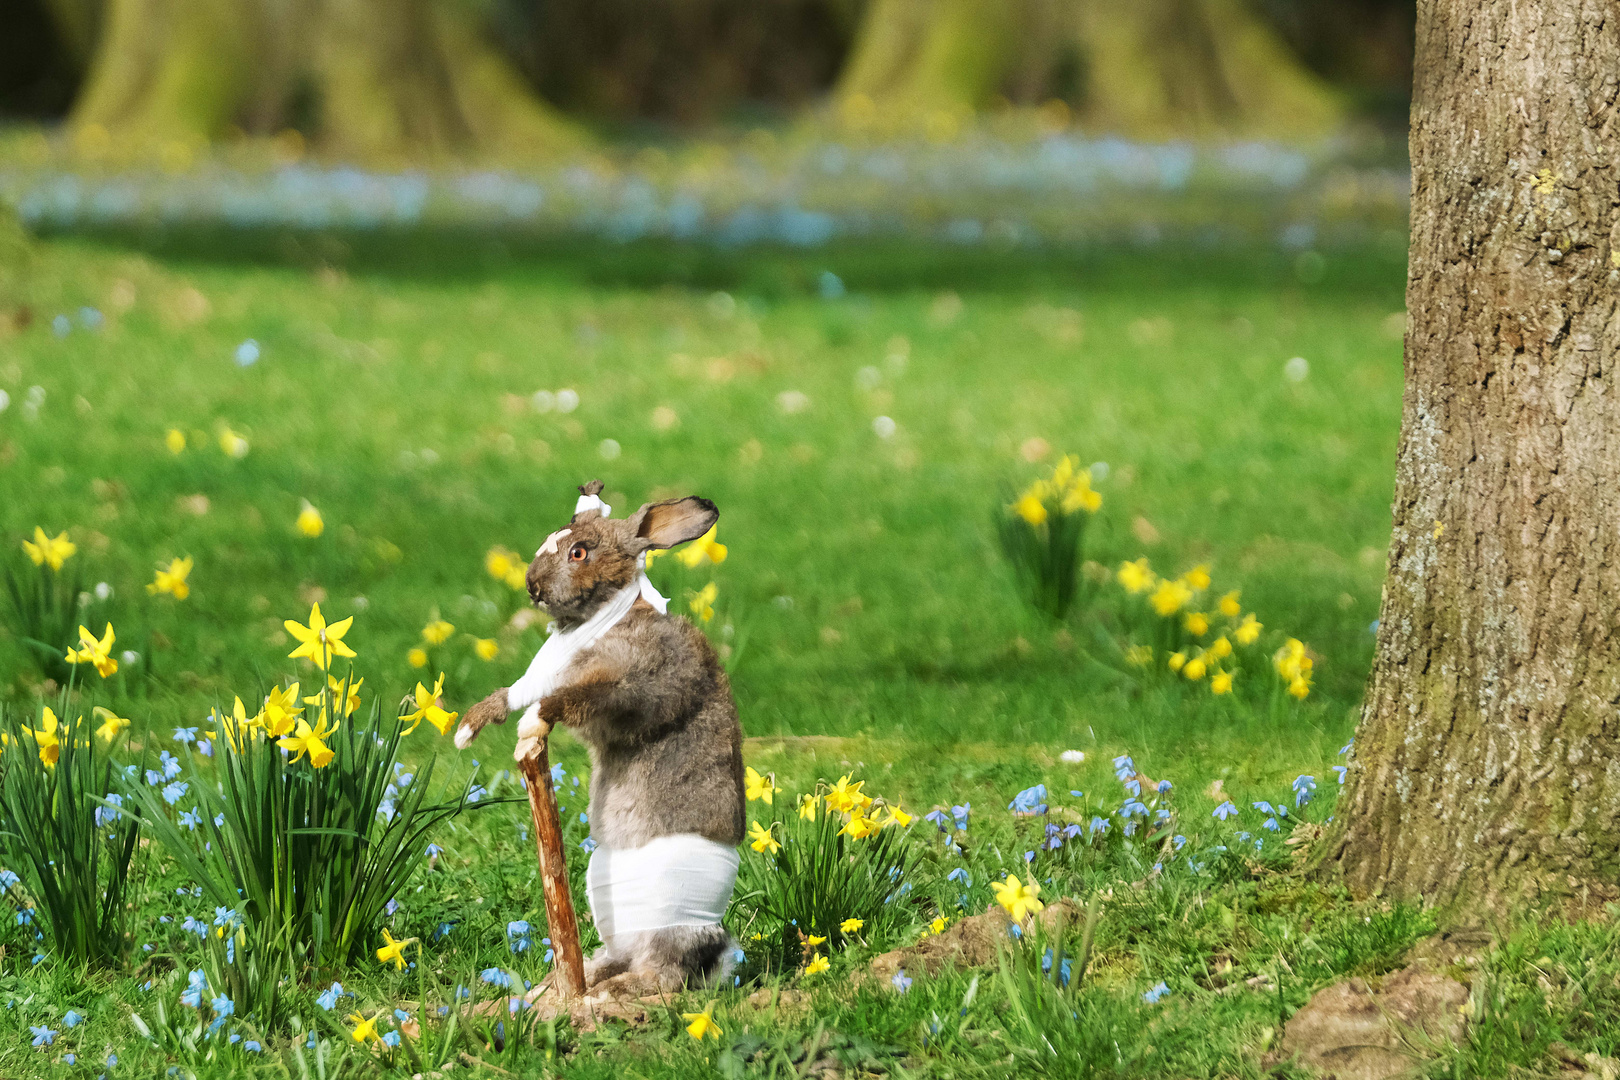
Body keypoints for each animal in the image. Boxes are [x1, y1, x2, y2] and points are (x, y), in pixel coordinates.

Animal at [456, 485, 745, 990]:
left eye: (579, 552)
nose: (532, 587)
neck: (604, 619)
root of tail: (713, 956)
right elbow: (515, 692)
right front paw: (466, 729)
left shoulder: (630, 687)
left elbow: (572, 698)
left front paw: (532, 724)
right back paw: (576, 981)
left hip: (669, 921)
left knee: (663, 973)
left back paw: (615, 991)